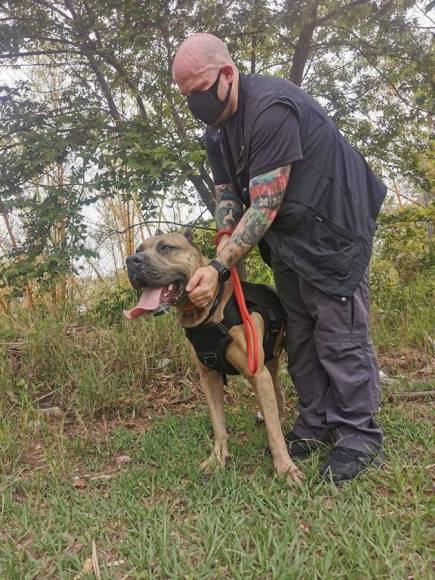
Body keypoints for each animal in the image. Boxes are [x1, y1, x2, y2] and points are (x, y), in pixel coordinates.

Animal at [126, 231, 304, 484]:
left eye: (166, 247)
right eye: (139, 250)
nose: (131, 261)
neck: (208, 312)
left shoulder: (256, 374)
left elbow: (274, 432)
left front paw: (285, 468)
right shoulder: (209, 377)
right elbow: (218, 423)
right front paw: (217, 459)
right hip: (269, 361)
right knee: (276, 389)